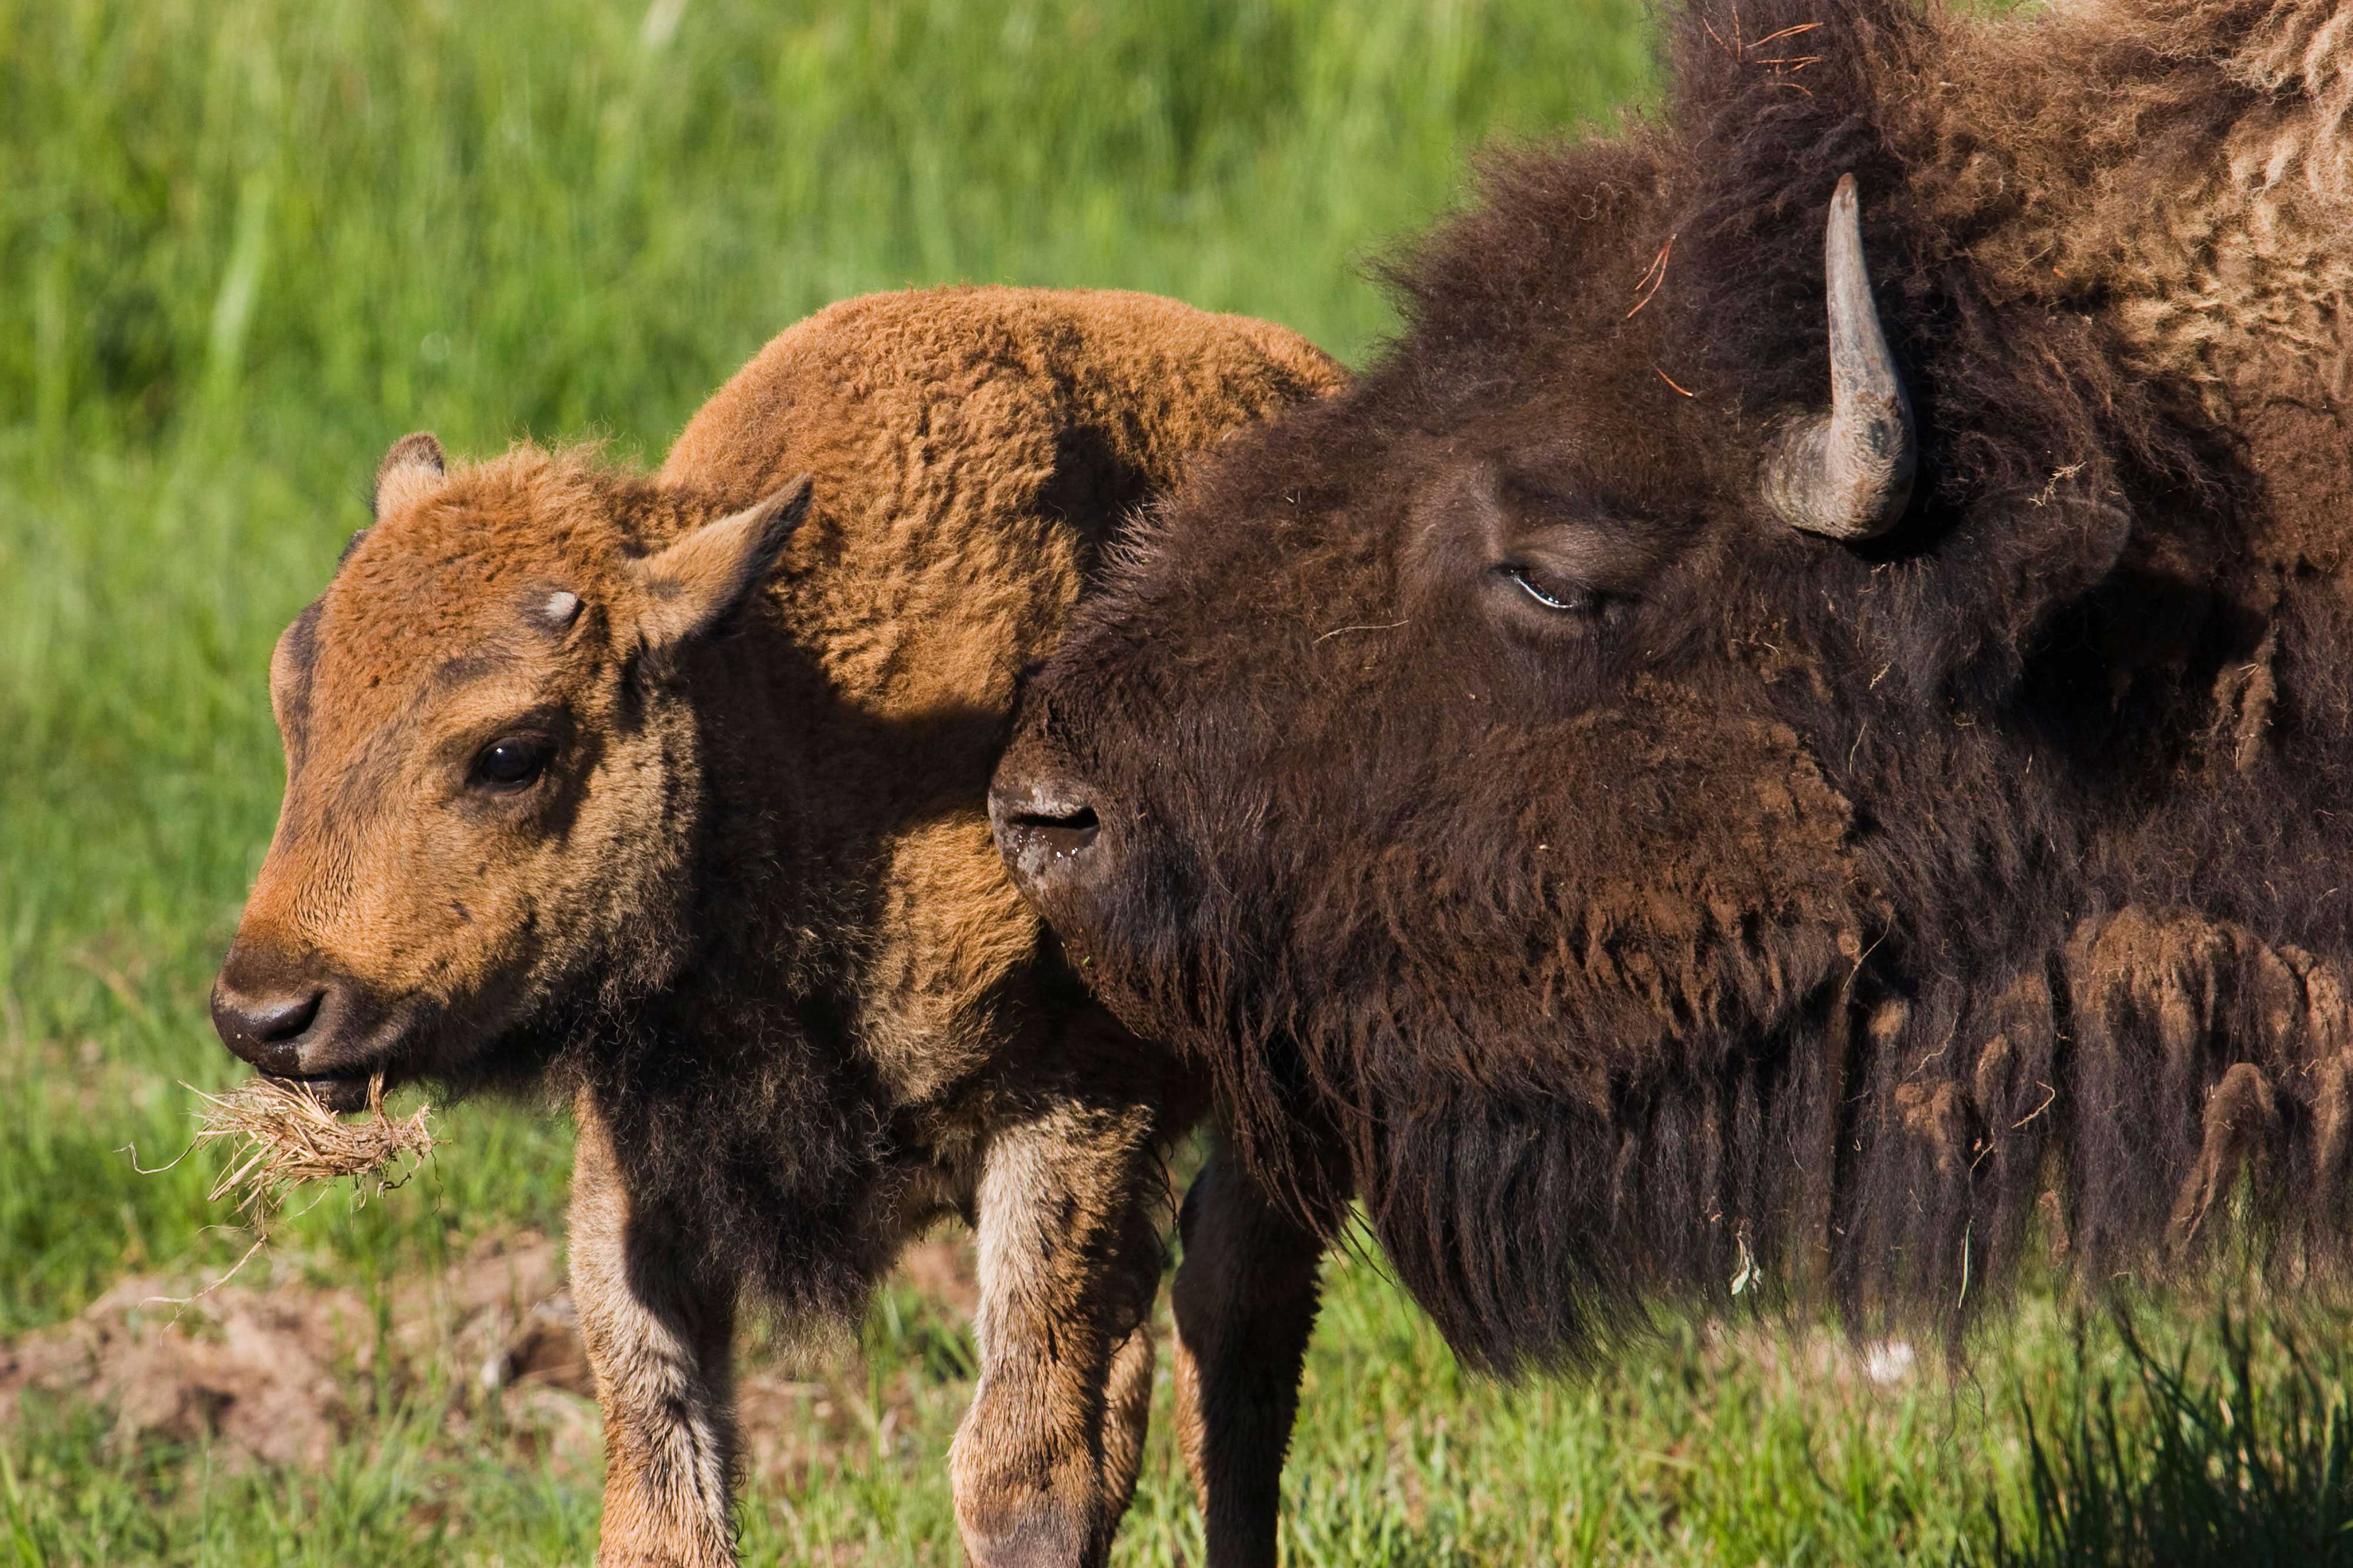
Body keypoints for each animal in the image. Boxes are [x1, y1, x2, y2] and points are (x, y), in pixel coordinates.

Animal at [202, 287, 1346, 1563]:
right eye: (291, 694)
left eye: (510, 752)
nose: (265, 1014)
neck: (790, 734)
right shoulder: (642, 1171)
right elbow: (663, 1486)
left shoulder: (1073, 1111)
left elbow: (1025, 1474)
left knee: (1235, 1317)